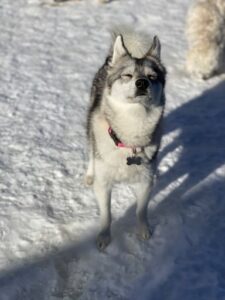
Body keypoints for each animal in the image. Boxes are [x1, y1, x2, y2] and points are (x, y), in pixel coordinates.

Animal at [85, 31, 166, 251]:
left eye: (152, 77)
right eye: (127, 76)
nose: (142, 83)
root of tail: (109, 61)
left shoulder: (146, 180)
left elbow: (141, 210)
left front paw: (143, 230)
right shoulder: (103, 183)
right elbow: (106, 213)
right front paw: (104, 236)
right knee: (90, 150)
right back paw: (89, 173)